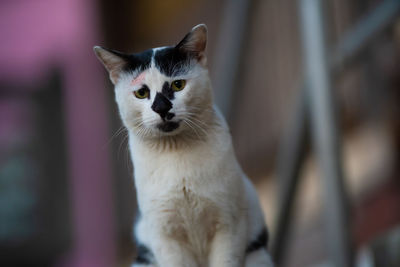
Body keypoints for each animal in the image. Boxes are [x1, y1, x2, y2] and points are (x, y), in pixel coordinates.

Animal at [94, 24, 276, 266]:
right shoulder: (165, 235)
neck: (177, 153)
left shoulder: (229, 225)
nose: (162, 108)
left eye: (177, 84)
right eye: (142, 92)